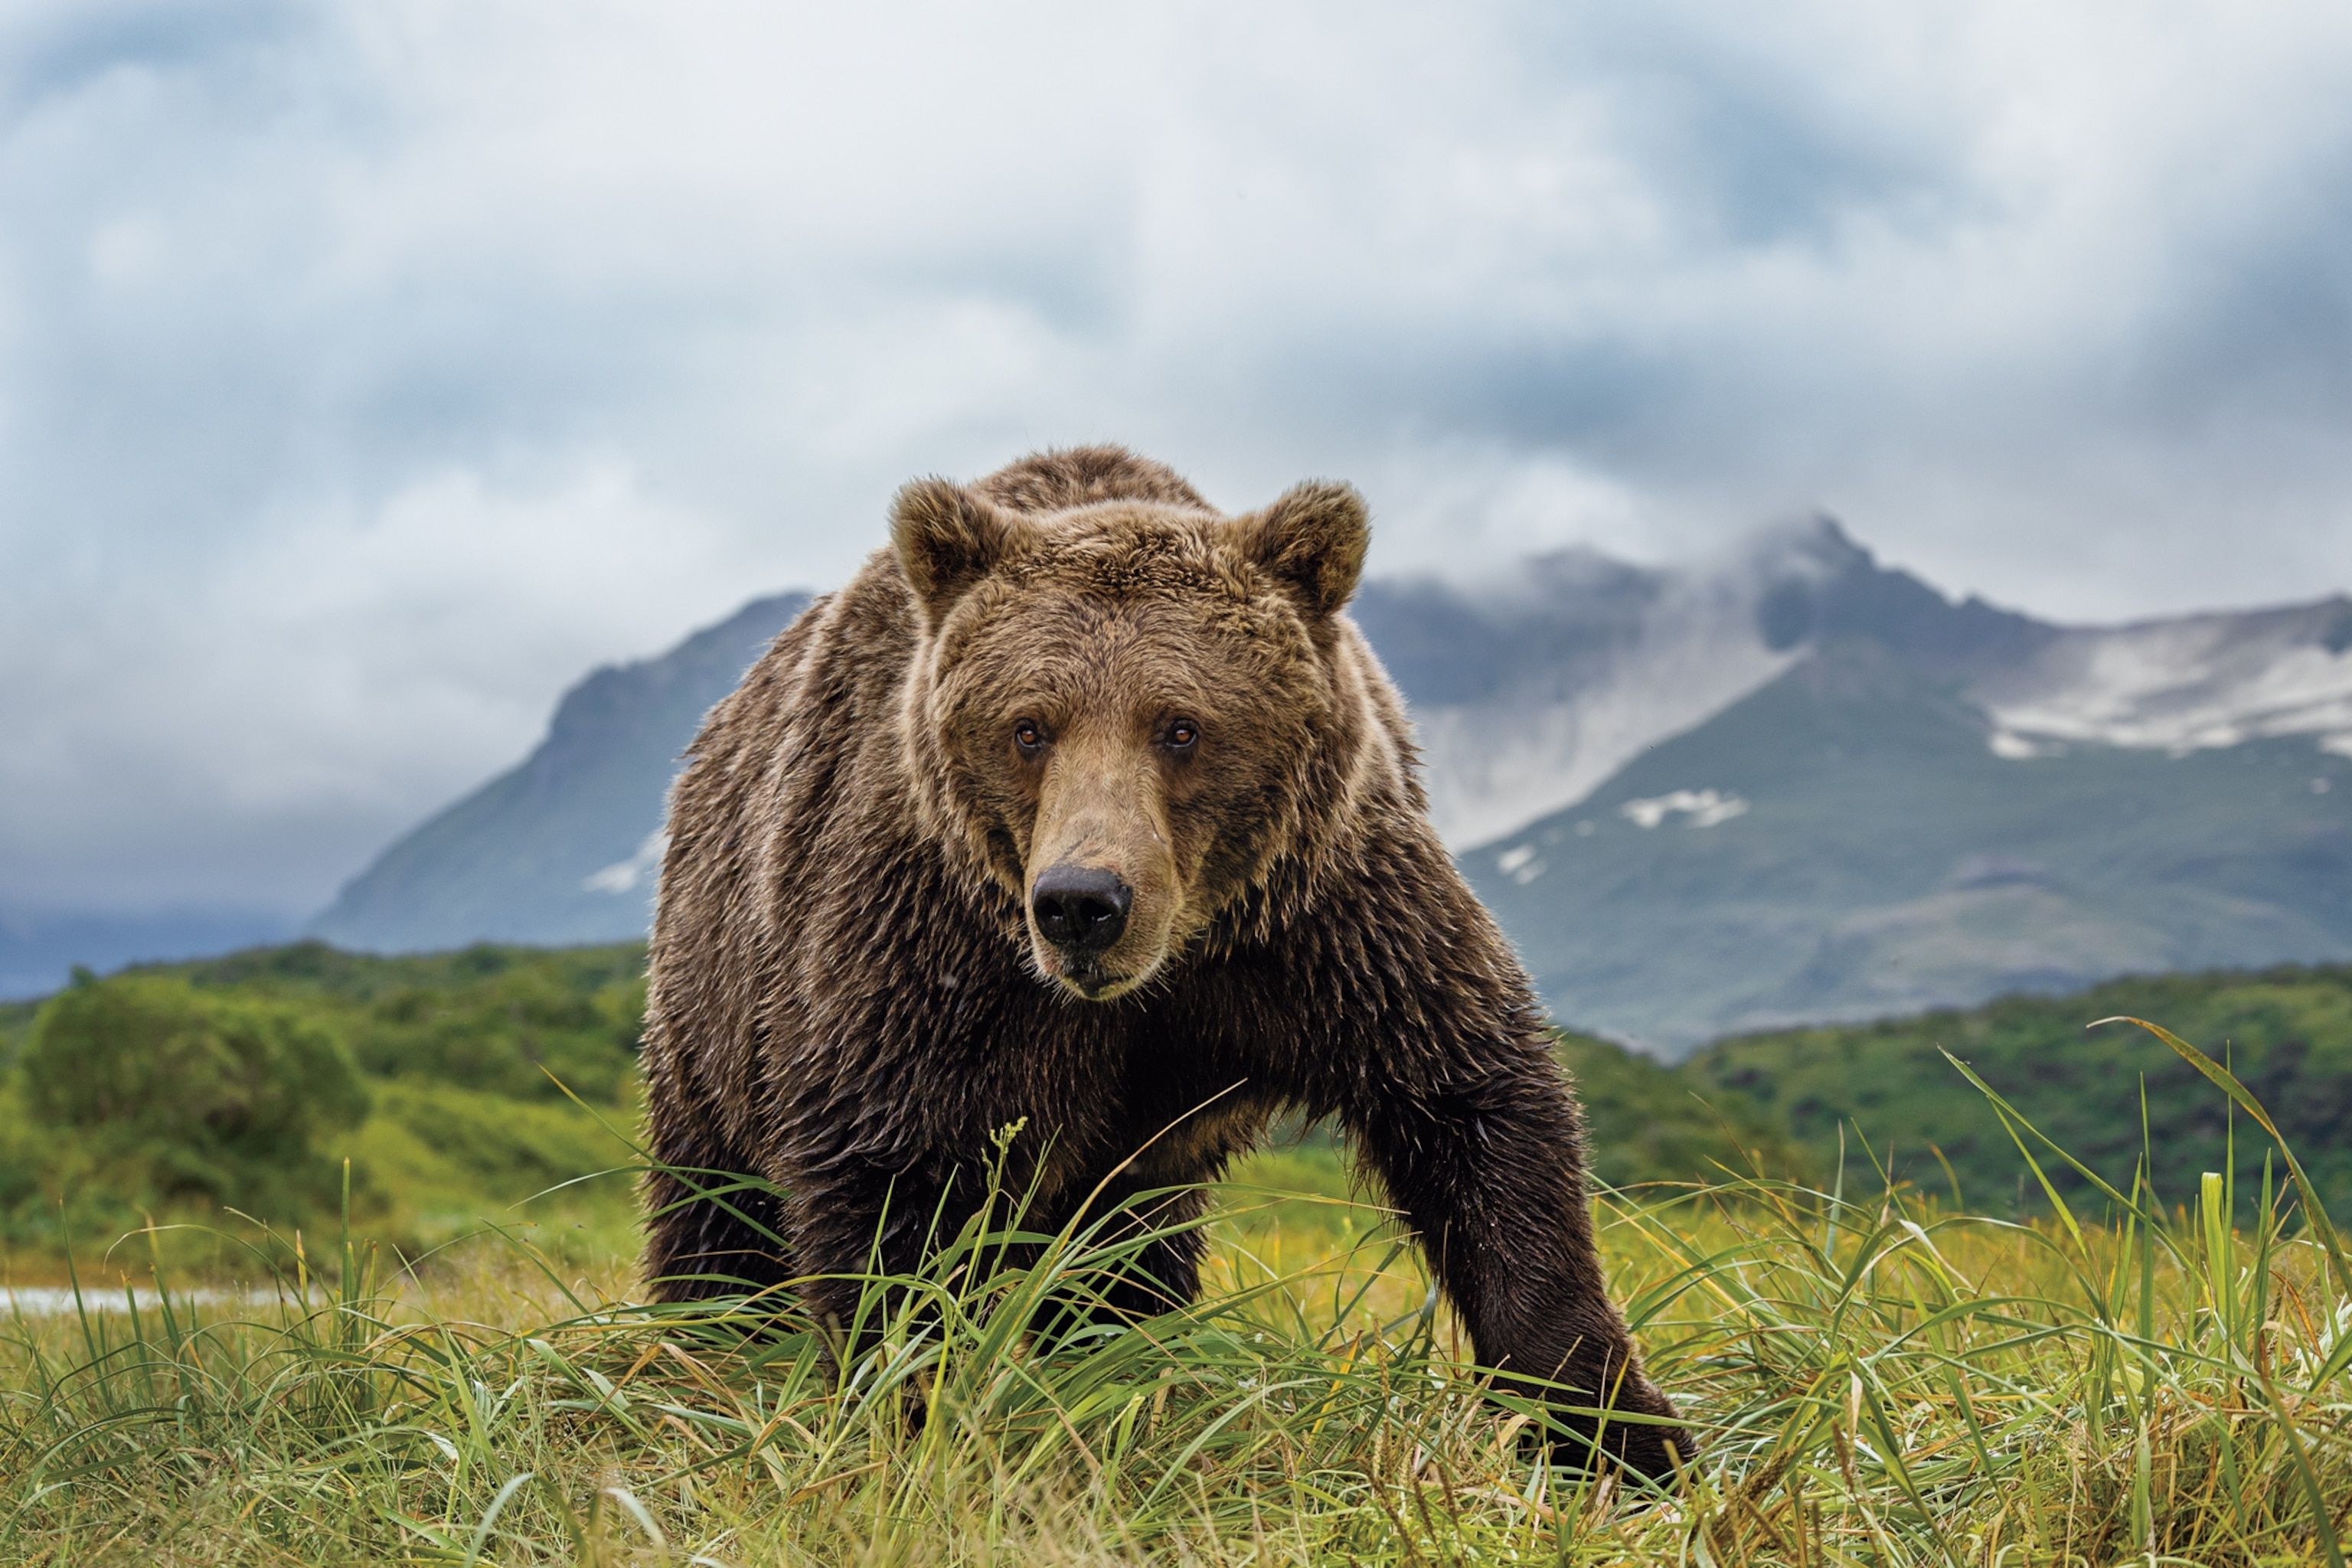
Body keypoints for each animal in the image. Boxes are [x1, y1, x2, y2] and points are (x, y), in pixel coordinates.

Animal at [639, 446, 1693, 1476]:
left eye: (1180, 725)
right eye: (1029, 726)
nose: (1082, 902)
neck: (1164, 967)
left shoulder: (1325, 920)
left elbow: (1473, 1106)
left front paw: (1623, 1437)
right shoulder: (933, 949)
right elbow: (897, 1187)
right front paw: (921, 1414)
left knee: (1124, 1259)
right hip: (713, 1004)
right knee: (716, 1216)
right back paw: (700, 1357)